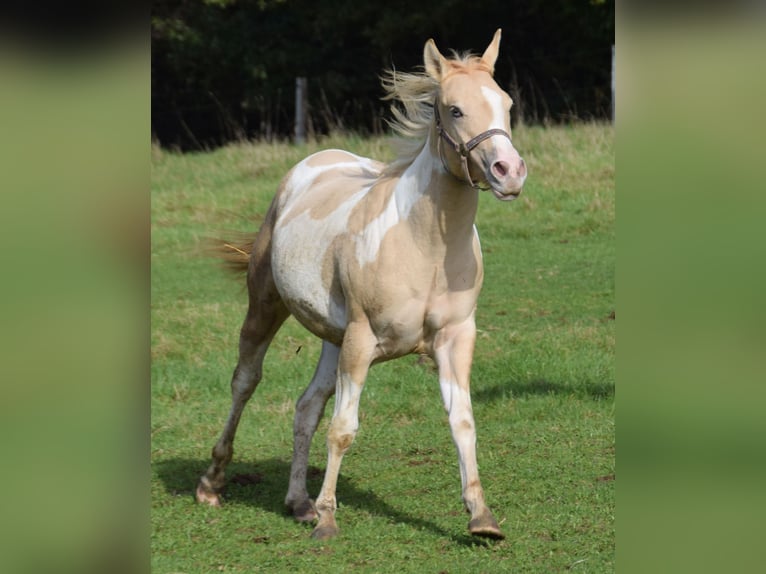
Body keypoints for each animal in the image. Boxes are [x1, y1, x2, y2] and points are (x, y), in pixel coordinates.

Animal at [196, 29, 528, 544]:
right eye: (454, 109)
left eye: (506, 103)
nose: (509, 172)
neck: (423, 246)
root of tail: (310, 164)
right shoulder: (361, 338)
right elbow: (343, 428)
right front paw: (329, 519)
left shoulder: (455, 338)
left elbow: (463, 421)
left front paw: (482, 518)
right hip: (270, 308)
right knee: (245, 382)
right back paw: (213, 484)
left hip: (332, 338)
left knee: (306, 406)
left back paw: (298, 502)